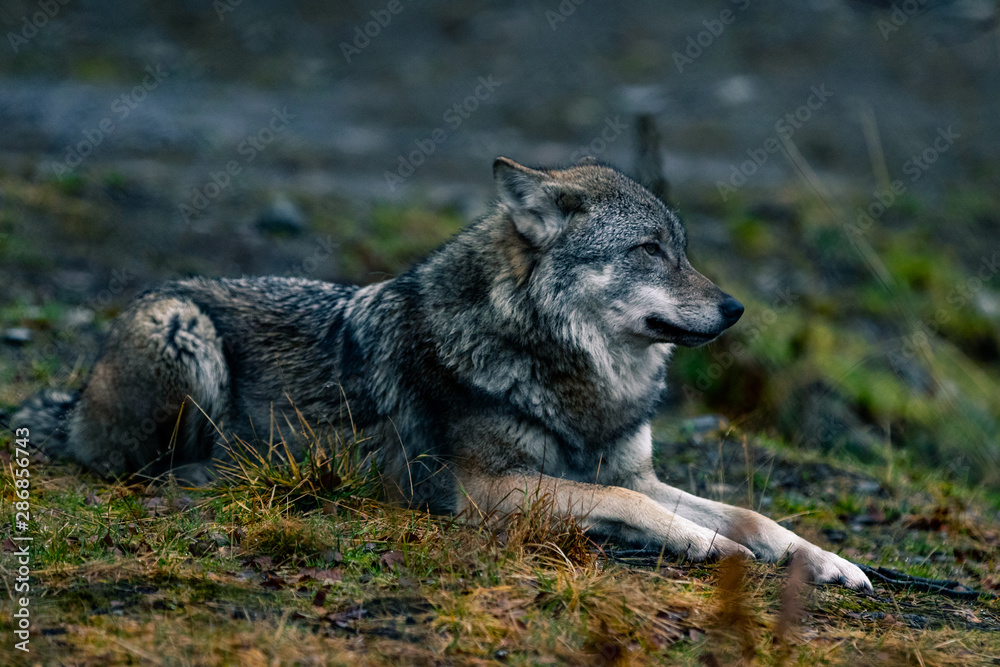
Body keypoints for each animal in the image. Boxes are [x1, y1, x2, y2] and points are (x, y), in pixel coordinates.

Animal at [12, 157, 871, 591]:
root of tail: (73, 398)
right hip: (182, 329)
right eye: (648, 250)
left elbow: (749, 513)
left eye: (682, 248)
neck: (573, 373)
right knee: (135, 468)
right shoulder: (484, 489)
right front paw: (709, 547)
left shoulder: (637, 470)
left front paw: (826, 560)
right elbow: (633, 504)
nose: (733, 308)